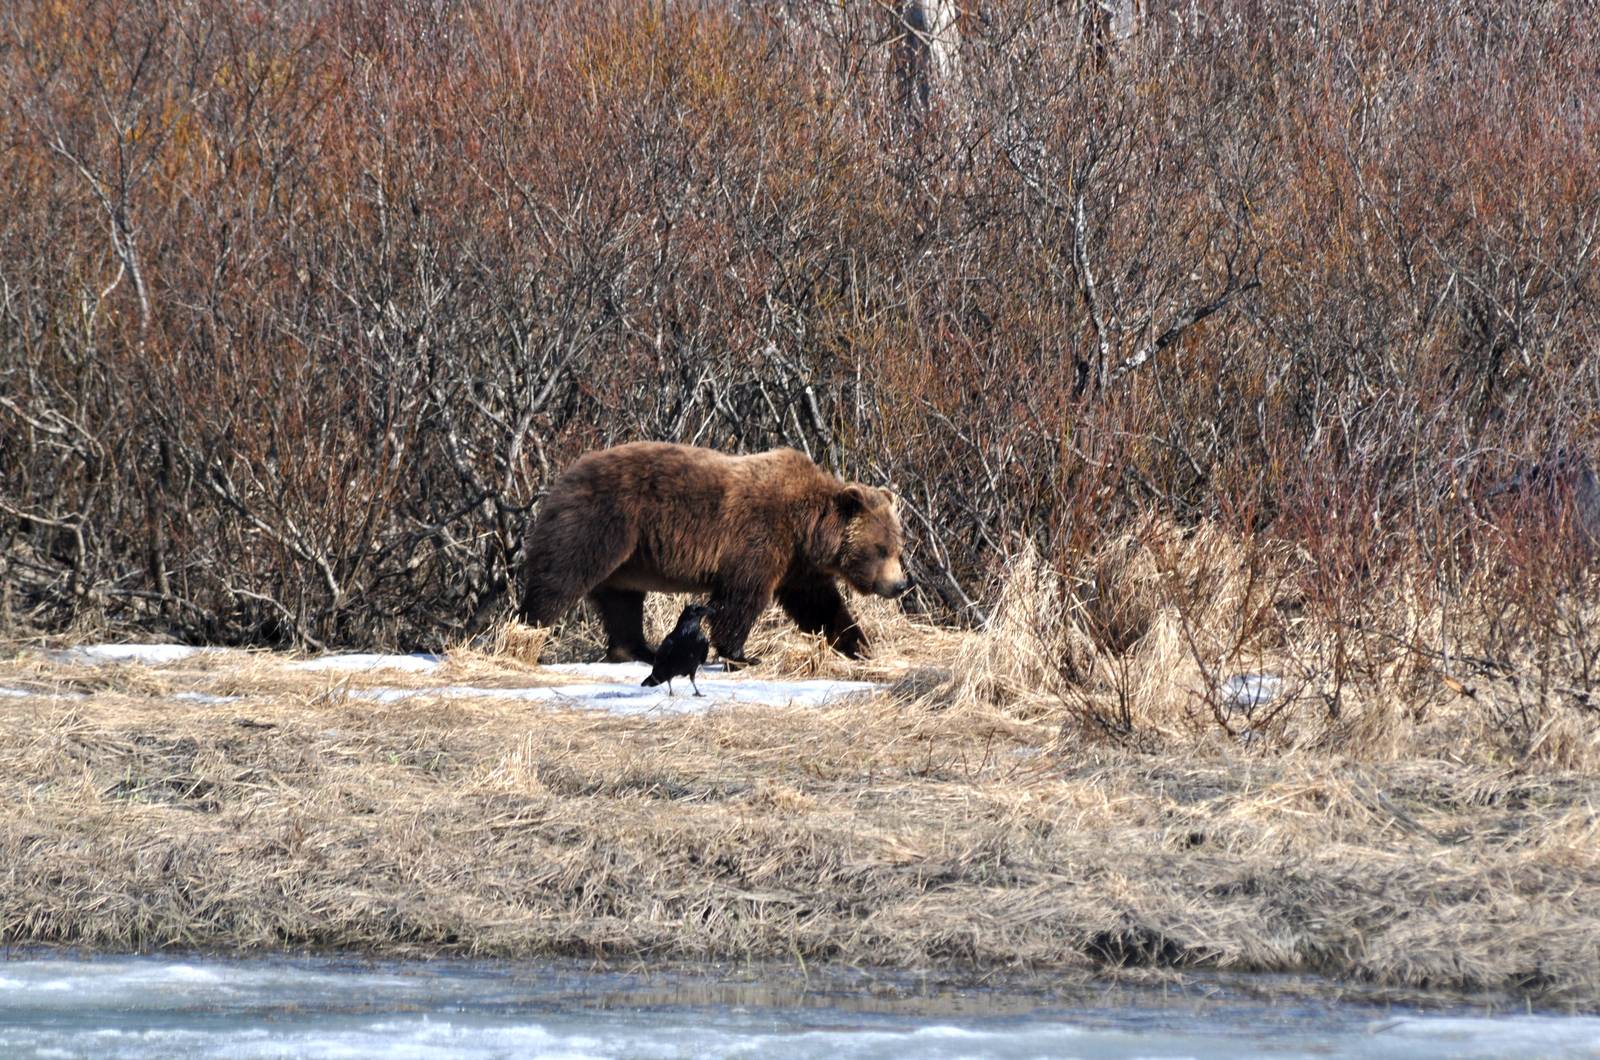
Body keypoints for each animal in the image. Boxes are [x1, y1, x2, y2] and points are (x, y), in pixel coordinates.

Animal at [517, 442, 911, 665]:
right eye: (880, 549)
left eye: (898, 547)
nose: (899, 585)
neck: (806, 532)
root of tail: (565, 474)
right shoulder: (759, 538)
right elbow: (741, 597)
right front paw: (741, 654)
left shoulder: (799, 567)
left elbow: (821, 606)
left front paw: (859, 644)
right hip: (603, 522)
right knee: (562, 578)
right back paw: (527, 633)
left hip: (628, 558)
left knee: (622, 601)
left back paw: (638, 650)